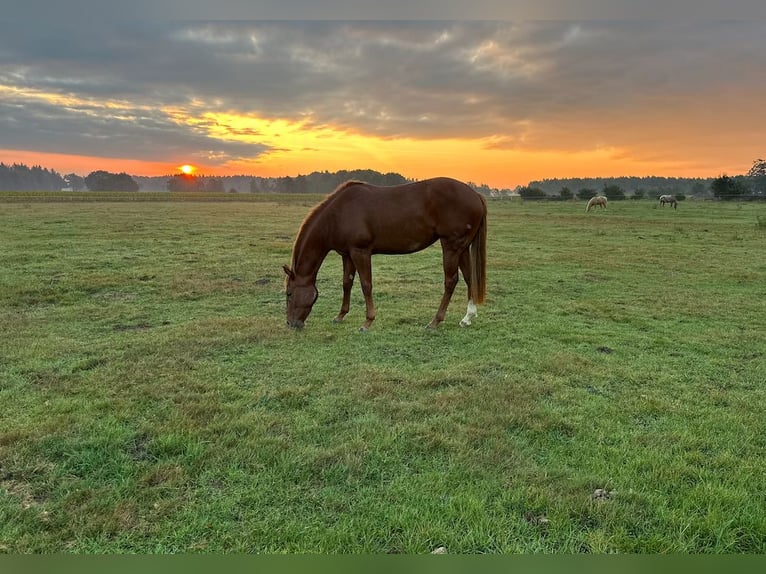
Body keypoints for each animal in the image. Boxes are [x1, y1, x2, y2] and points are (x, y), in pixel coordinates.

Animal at [283, 177, 487, 331]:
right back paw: (467, 318)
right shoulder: (347, 254)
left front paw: (367, 322)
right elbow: (347, 283)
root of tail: (475, 195)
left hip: (451, 246)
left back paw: (435, 321)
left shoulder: (360, 252)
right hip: (462, 248)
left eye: (289, 293)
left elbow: (366, 285)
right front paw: (340, 316)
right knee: (469, 278)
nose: (291, 323)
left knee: (451, 281)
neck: (337, 214)